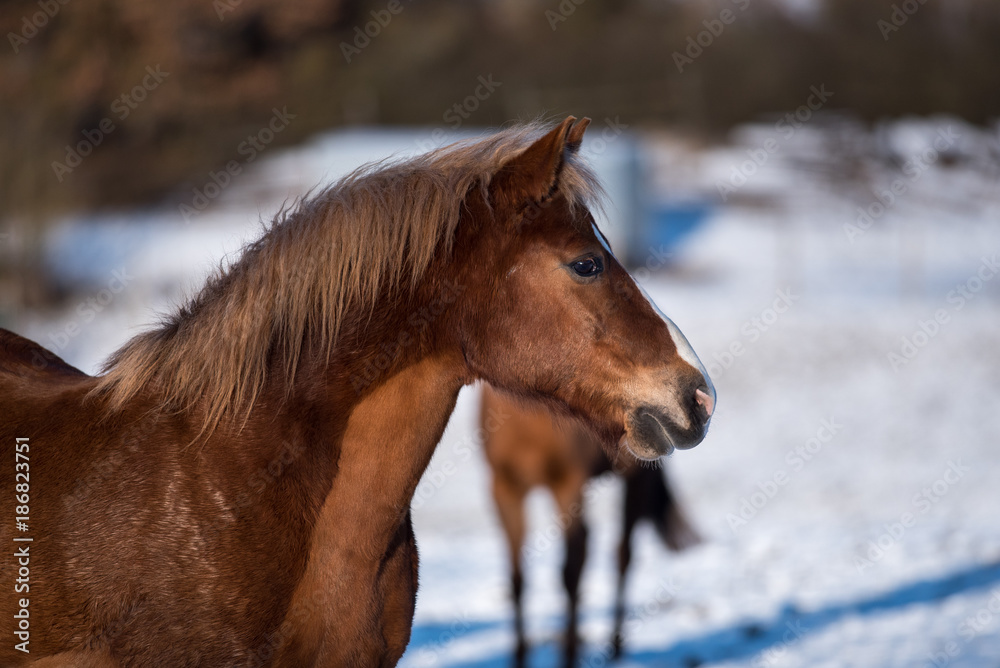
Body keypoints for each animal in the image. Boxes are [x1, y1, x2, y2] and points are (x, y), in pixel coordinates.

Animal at [481, 385, 700, 667]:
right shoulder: (505, 490)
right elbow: (517, 578)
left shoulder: (568, 485)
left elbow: (571, 572)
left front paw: (569, 657)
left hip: (635, 477)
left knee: (622, 555)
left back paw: (615, 647)